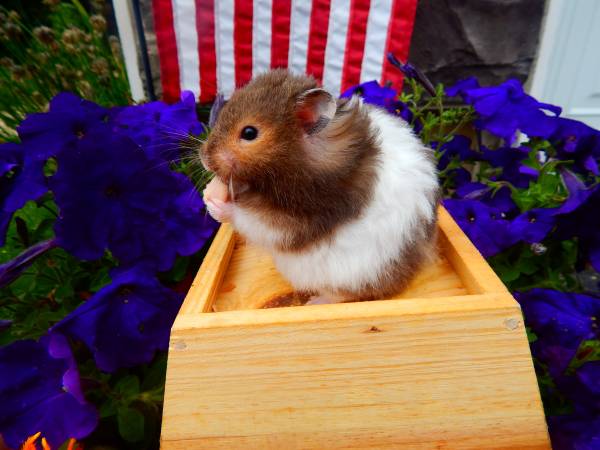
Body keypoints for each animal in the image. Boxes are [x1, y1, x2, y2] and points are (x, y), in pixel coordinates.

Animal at [199, 68, 438, 304]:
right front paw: (209, 192)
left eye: (249, 133)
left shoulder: (300, 219)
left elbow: (252, 220)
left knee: (346, 295)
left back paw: (314, 301)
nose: (203, 158)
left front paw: (213, 202)